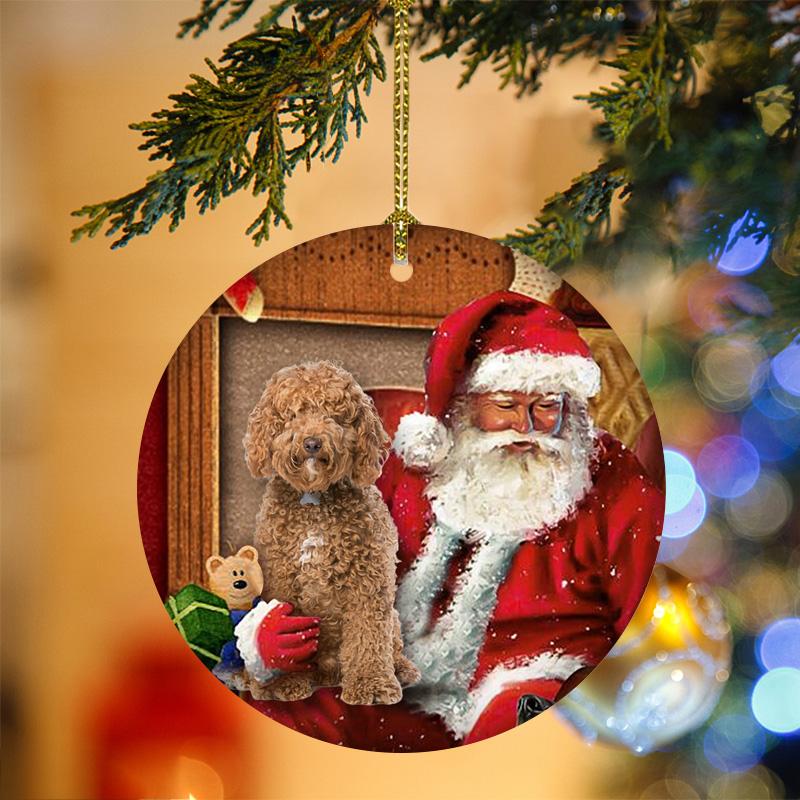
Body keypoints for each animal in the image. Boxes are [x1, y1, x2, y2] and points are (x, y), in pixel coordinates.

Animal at [242, 362, 418, 708]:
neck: (315, 500)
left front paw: (371, 685)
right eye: (294, 414)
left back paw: (402, 670)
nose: (312, 443)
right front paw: (283, 683)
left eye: (335, 416)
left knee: (391, 644)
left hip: (392, 618)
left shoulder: (369, 581)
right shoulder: (281, 580)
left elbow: (368, 635)